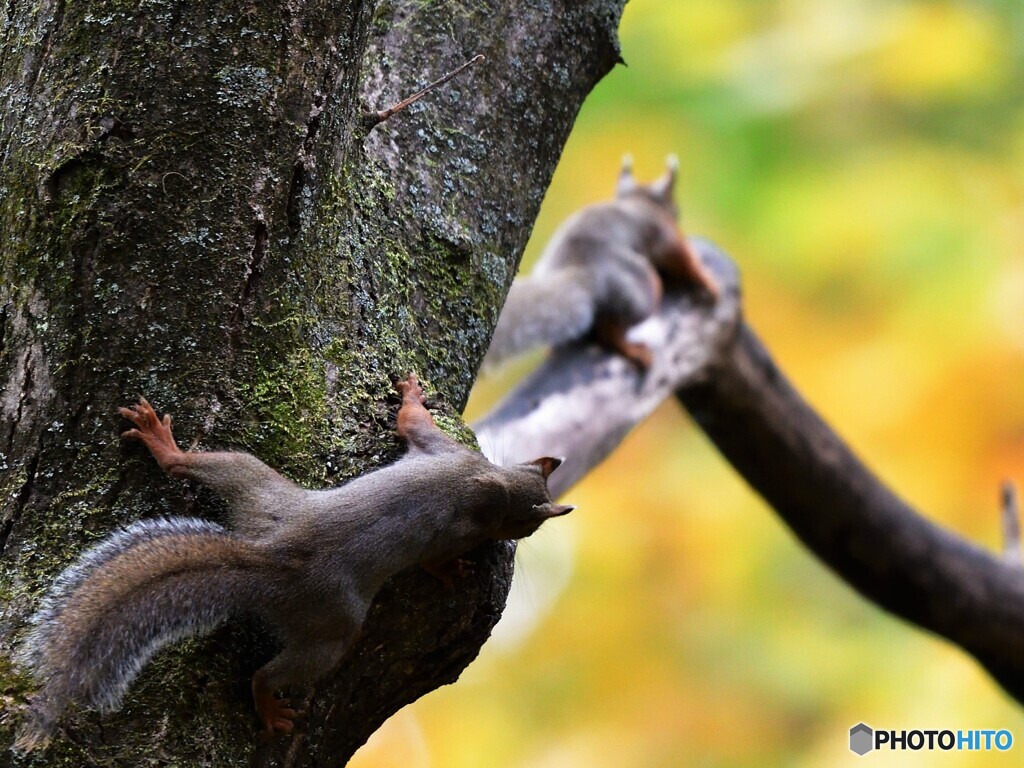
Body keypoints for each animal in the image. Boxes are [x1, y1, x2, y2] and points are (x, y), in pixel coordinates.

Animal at [14, 374, 577, 753]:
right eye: (528, 530)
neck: (494, 482)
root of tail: (275, 556)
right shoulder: (451, 487)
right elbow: (435, 545)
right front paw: (452, 573)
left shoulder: (436, 451)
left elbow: (410, 426)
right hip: (332, 629)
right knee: (272, 672)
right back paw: (268, 703)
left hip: (256, 485)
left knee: (195, 466)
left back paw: (162, 443)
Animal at [481, 154, 716, 370]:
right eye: (677, 209)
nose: (676, 214)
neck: (638, 201)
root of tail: (580, 272)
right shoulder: (665, 236)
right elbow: (683, 259)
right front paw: (707, 283)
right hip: (642, 288)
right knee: (610, 330)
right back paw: (632, 349)